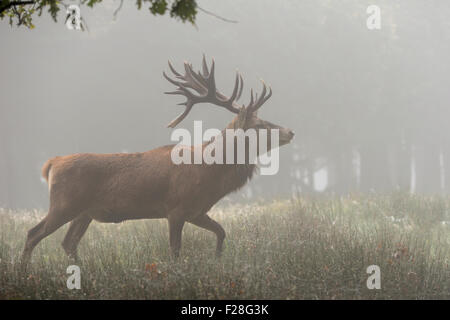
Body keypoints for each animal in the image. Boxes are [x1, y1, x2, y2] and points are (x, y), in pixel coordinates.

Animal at [21, 55, 296, 264]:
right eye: (259, 125)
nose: (290, 131)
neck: (210, 174)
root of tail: (52, 164)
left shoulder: (197, 211)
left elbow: (221, 232)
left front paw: (218, 260)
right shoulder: (176, 208)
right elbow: (175, 251)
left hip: (84, 212)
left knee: (68, 243)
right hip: (64, 203)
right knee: (33, 233)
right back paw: (24, 272)